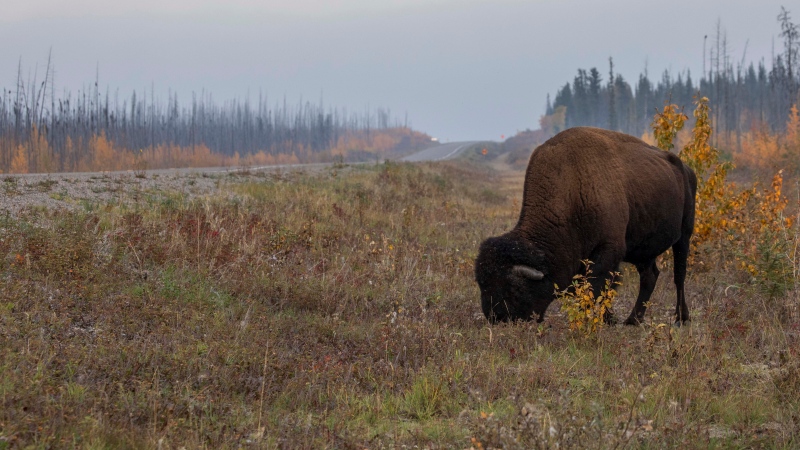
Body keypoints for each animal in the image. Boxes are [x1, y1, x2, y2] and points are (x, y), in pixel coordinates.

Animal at [476, 126, 692, 326]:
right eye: (481, 284)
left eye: (516, 287)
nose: (496, 317)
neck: (572, 188)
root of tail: (685, 168)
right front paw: (607, 319)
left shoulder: (609, 249)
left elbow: (598, 285)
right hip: (644, 249)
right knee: (650, 276)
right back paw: (633, 320)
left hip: (684, 236)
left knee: (679, 276)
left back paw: (681, 318)